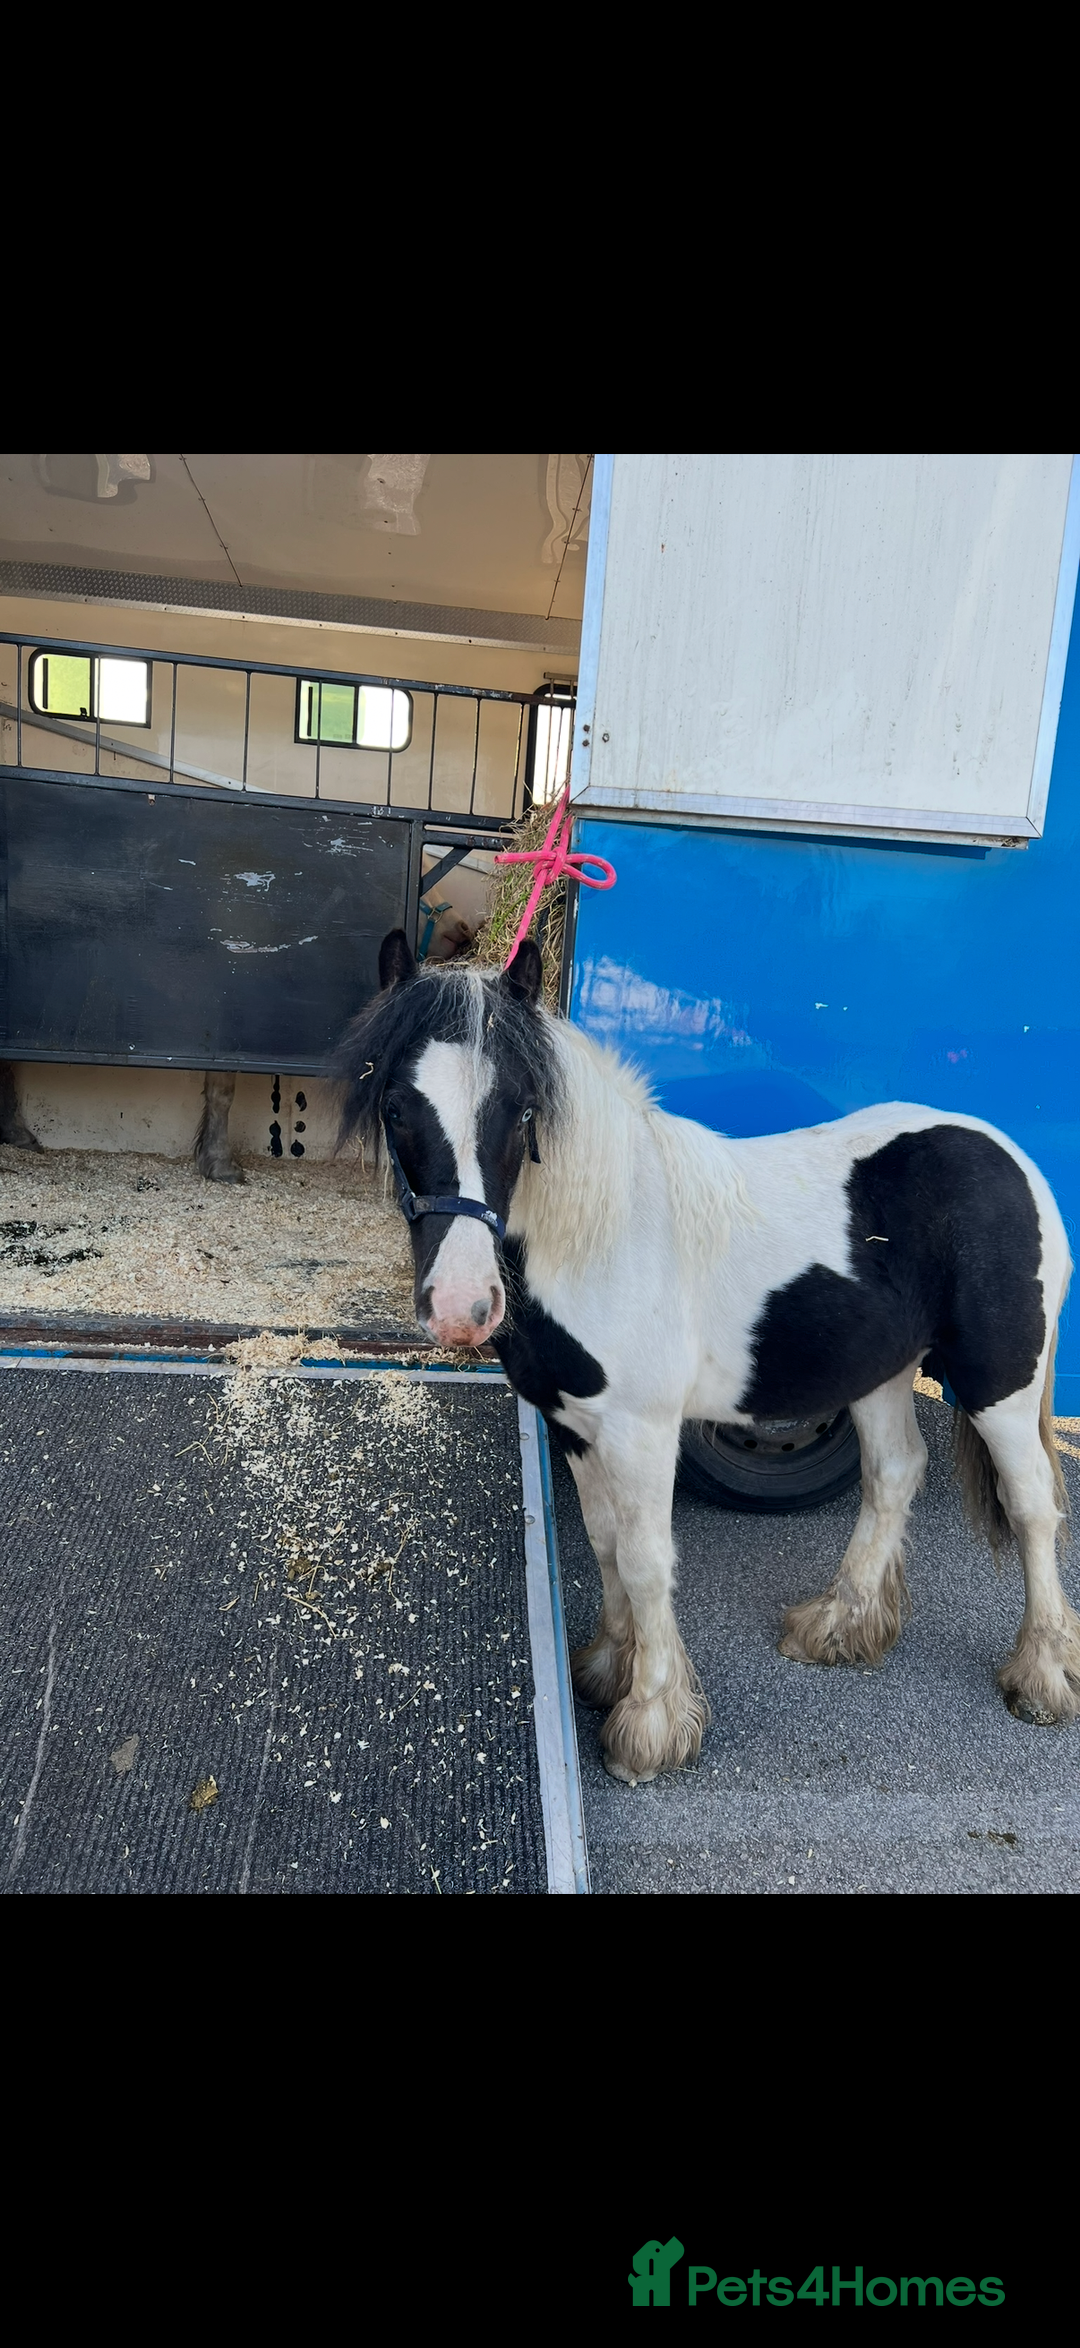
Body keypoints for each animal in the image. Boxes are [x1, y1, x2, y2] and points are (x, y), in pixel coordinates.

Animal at [333, 928, 1077, 1783]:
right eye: (397, 1108)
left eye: (521, 1110)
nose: (461, 1307)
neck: (606, 1236)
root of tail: (1009, 1156)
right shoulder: (574, 1425)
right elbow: (605, 1541)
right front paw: (607, 1669)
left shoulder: (642, 1431)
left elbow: (647, 1559)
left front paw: (651, 1725)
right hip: (878, 1370)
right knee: (895, 1472)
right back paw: (840, 1626)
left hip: (999, 1384)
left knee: (1032, 1503)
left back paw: (1043, 1675)